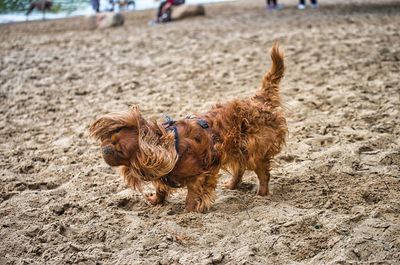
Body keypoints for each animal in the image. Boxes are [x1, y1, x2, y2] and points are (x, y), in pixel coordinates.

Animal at [90, 43, 288, 212]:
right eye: (107, 139)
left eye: (120, 149)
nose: (104, 149)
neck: (167, 146)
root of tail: (259, 100)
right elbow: (161, 189)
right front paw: (155, 201)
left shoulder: (198, 176)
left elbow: (191, 197)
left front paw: (189, 212)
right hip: (238, 149)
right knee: (239, 168)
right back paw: (232, 186)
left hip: (255, 151)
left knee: (263, 174)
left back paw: (261, 195)